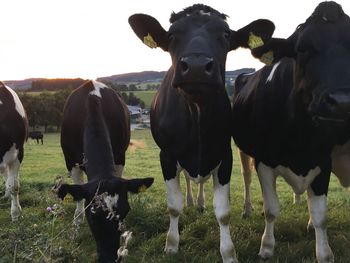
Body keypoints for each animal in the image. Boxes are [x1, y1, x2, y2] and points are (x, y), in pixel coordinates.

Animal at [60, 80, 131, 225]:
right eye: (93, 217)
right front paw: (78, 218)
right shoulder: (70, 160)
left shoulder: (120, 157)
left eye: (126, 210)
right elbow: (78, 189)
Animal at [130, 3, 274, 262]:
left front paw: (229, 252)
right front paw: (171, 244)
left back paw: (201, 203)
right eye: (171, 35)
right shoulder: (167, 156)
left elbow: (223, 212)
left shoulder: (223, 154)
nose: (196, 67)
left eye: (225, 35)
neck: (196, 114)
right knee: (188, 180)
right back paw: (191, 201)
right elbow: (173, 206)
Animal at [232, 1, 350, 262]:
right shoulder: (264, 162)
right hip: (243, 150)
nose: (341, 102)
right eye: (303, 48)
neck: (301, 137)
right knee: (246, 177)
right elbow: (271, 209)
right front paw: (266, 247)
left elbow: (320, 215)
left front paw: (324, 252)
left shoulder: (322, 161)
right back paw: (247, 209)